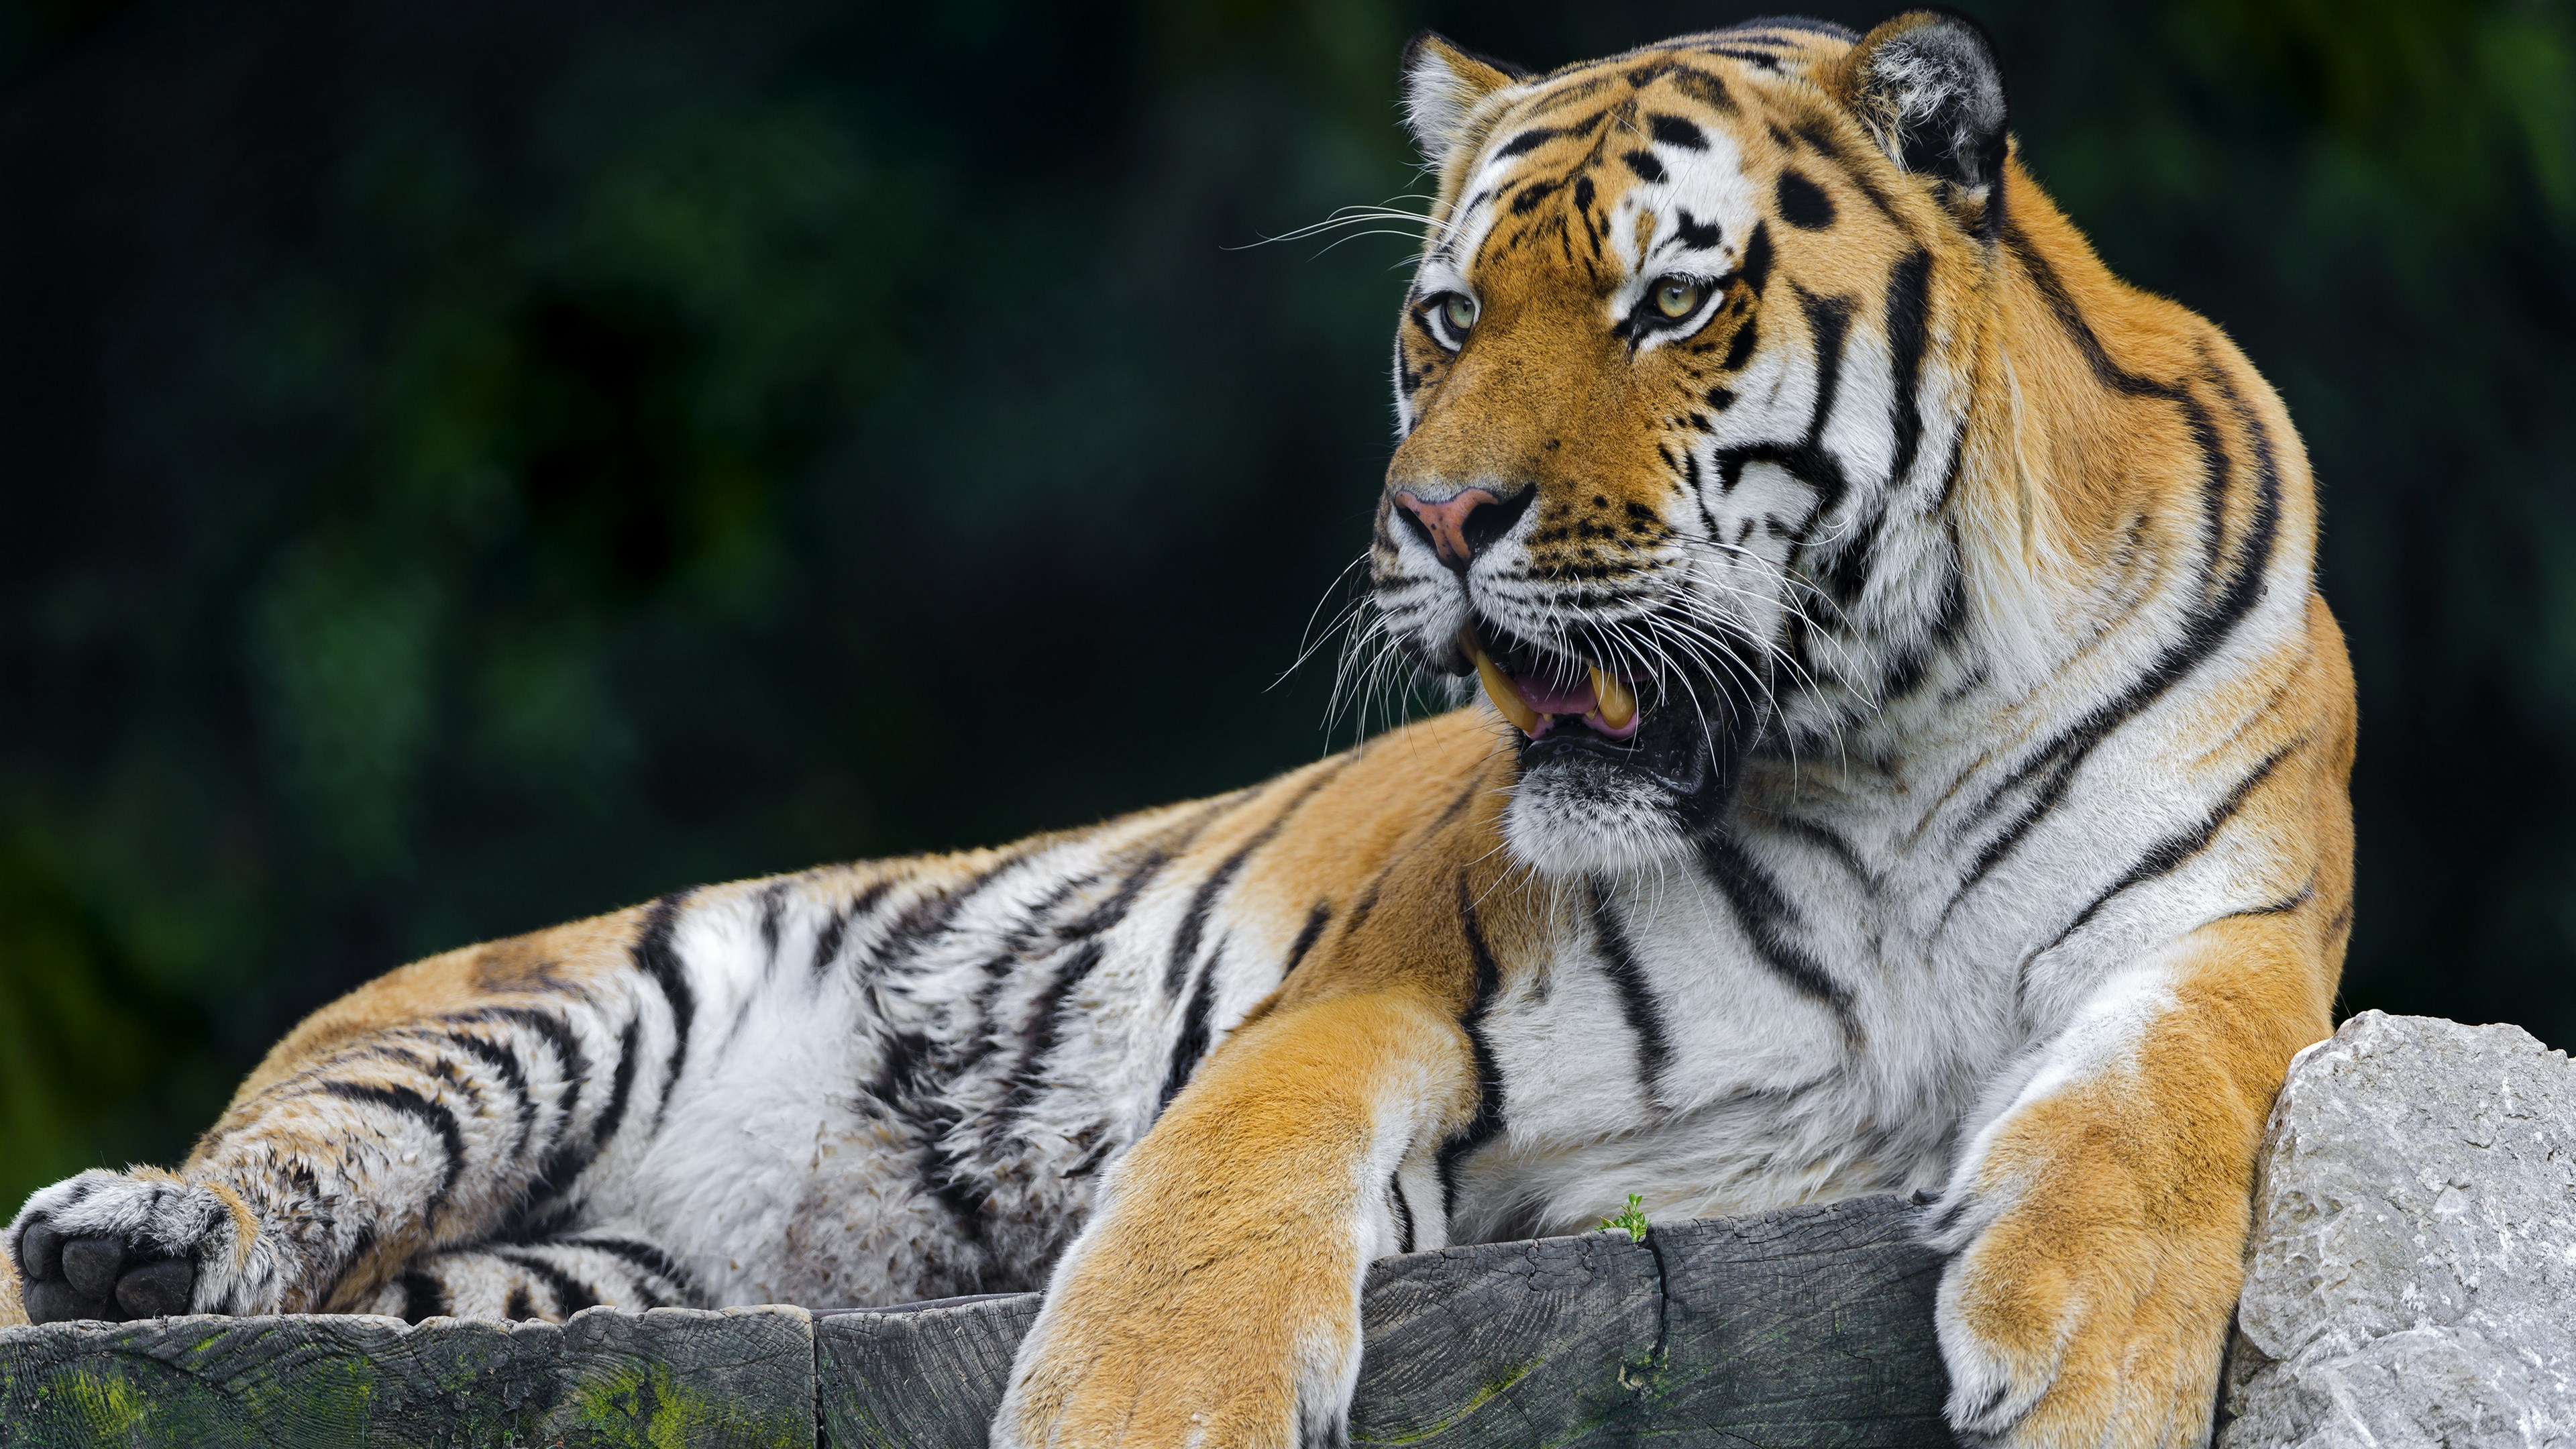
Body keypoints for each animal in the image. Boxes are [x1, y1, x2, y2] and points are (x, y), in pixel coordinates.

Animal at [4, 11, 2354, 1447]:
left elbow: (2176, 1109)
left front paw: (2090, 1372)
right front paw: (1142, 1404)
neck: (1878, 737)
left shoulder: (2238, 933)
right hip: (550, 1009)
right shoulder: (1388, 988)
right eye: (1447, 316)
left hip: (559, 1285)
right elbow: (1217, 1196)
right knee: (282, 1173)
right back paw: (126, 1235)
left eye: (1668, 301)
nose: (1437, 518)